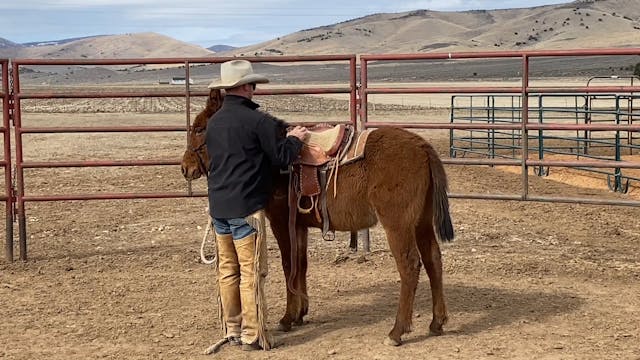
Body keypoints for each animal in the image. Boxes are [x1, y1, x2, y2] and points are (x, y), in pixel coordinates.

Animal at [182, 89, 456, 346]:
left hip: (398, 225)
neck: (277, 162)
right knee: (433, 260)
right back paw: (437, 322)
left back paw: (397, 331)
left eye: (199, 127)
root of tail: (422, 147)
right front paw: (301, 313)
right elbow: (301, 265)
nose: (185, 168)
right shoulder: (299, 226)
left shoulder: (281, 222)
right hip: (421, 222)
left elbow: (289, 265)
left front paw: (287, 318)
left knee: (409, 265)